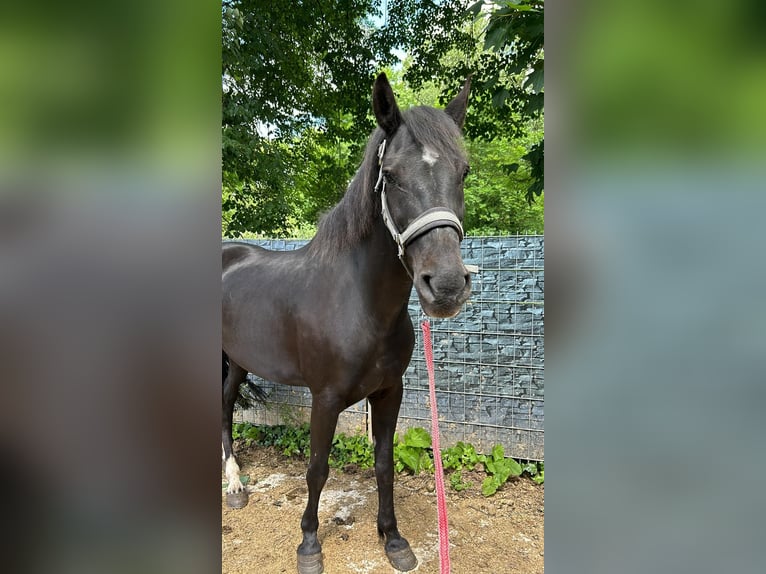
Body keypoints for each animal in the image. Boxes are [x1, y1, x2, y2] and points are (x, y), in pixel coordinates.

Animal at [222, 73, 472, 574]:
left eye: (464, 172)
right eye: (390, 176)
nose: (447, 286)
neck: (358, 305)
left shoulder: (389, 392)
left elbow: (384, 464)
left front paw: (393, 539)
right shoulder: (326, 398)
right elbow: (317, 468)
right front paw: (308, 544)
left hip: (238, 361)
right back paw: (233, 483)